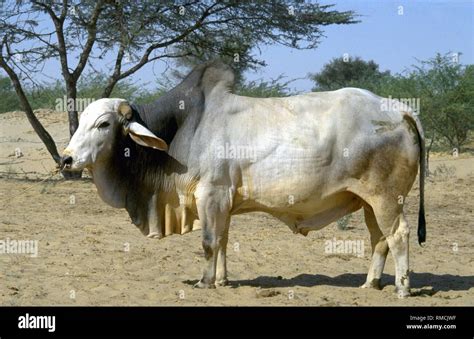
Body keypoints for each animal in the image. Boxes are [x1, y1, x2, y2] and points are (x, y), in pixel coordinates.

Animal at [61, 61, 428, 298]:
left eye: (103, 124)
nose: (66, 159)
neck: (185, 127)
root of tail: (399, 109)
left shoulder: (211, 195)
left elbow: (209, 242)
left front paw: (205, 282)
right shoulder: (222, 202)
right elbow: (223, 241)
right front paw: (222, 281)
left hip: (386, 198)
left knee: (398, 234)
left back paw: (402, 288)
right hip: (368, 201)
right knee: (379, 239)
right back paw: (370, 284)